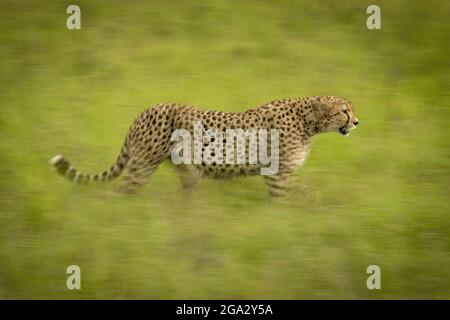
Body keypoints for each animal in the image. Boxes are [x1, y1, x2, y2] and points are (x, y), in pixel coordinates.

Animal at [49, 95, 358, 196]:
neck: (309, 121)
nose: (357, 122)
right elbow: (298, 193)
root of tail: (147, 109)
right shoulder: (278, 174)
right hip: (143, 165)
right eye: (344, 111)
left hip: (188, 172)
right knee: (121, 191)